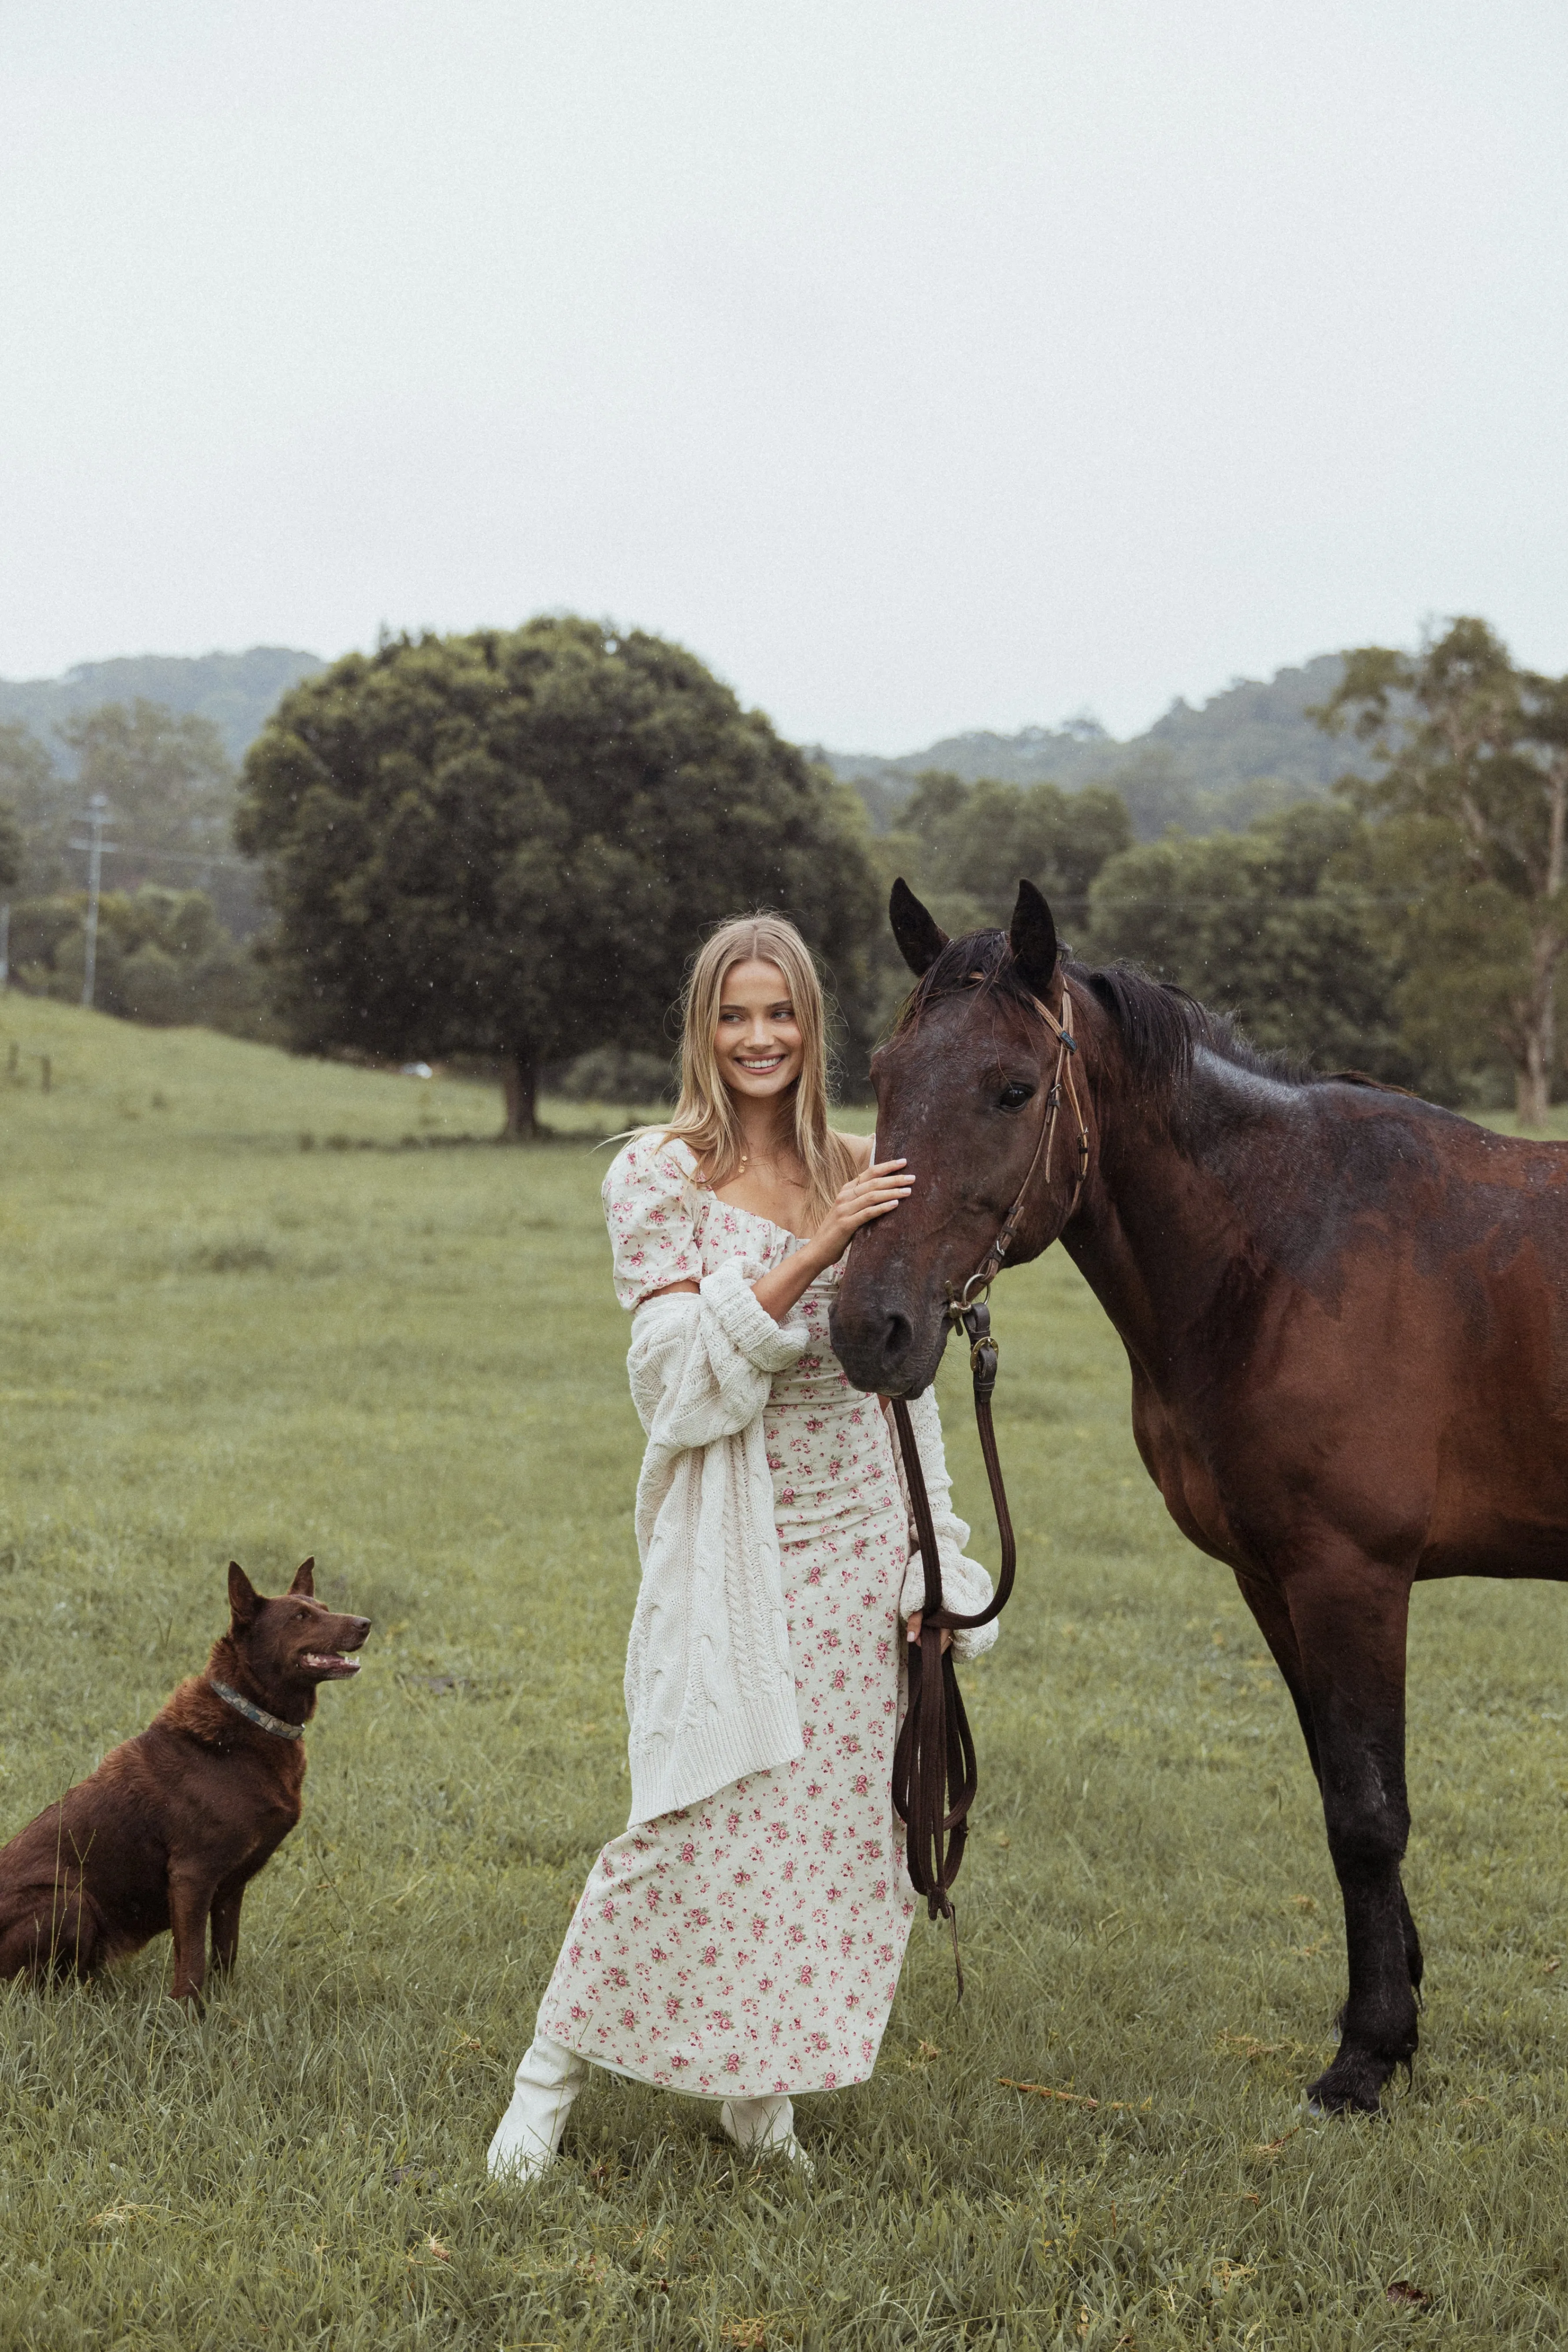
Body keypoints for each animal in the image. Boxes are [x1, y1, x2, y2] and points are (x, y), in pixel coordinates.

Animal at [0, 1562, 369, 2003]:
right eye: (300, 1617)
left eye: (325, 1608)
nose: (366, 1623)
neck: (251, 1716)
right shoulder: (192, 1877)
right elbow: (192, 1962)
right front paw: (189, 2014)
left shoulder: (230, 1887)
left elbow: (225, 1951)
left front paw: (225, 2002)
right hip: (69, 1903)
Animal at [832, 879, 1568, 2117]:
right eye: (882, 1075)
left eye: (1012, 1086)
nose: (867, 1327)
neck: (1282, 1249)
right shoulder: (1274, 1578)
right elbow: (1338, 1785)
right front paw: (1398, 2010)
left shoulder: (1351, 1576)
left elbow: (1367, 1811)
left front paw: (1366, 2055)